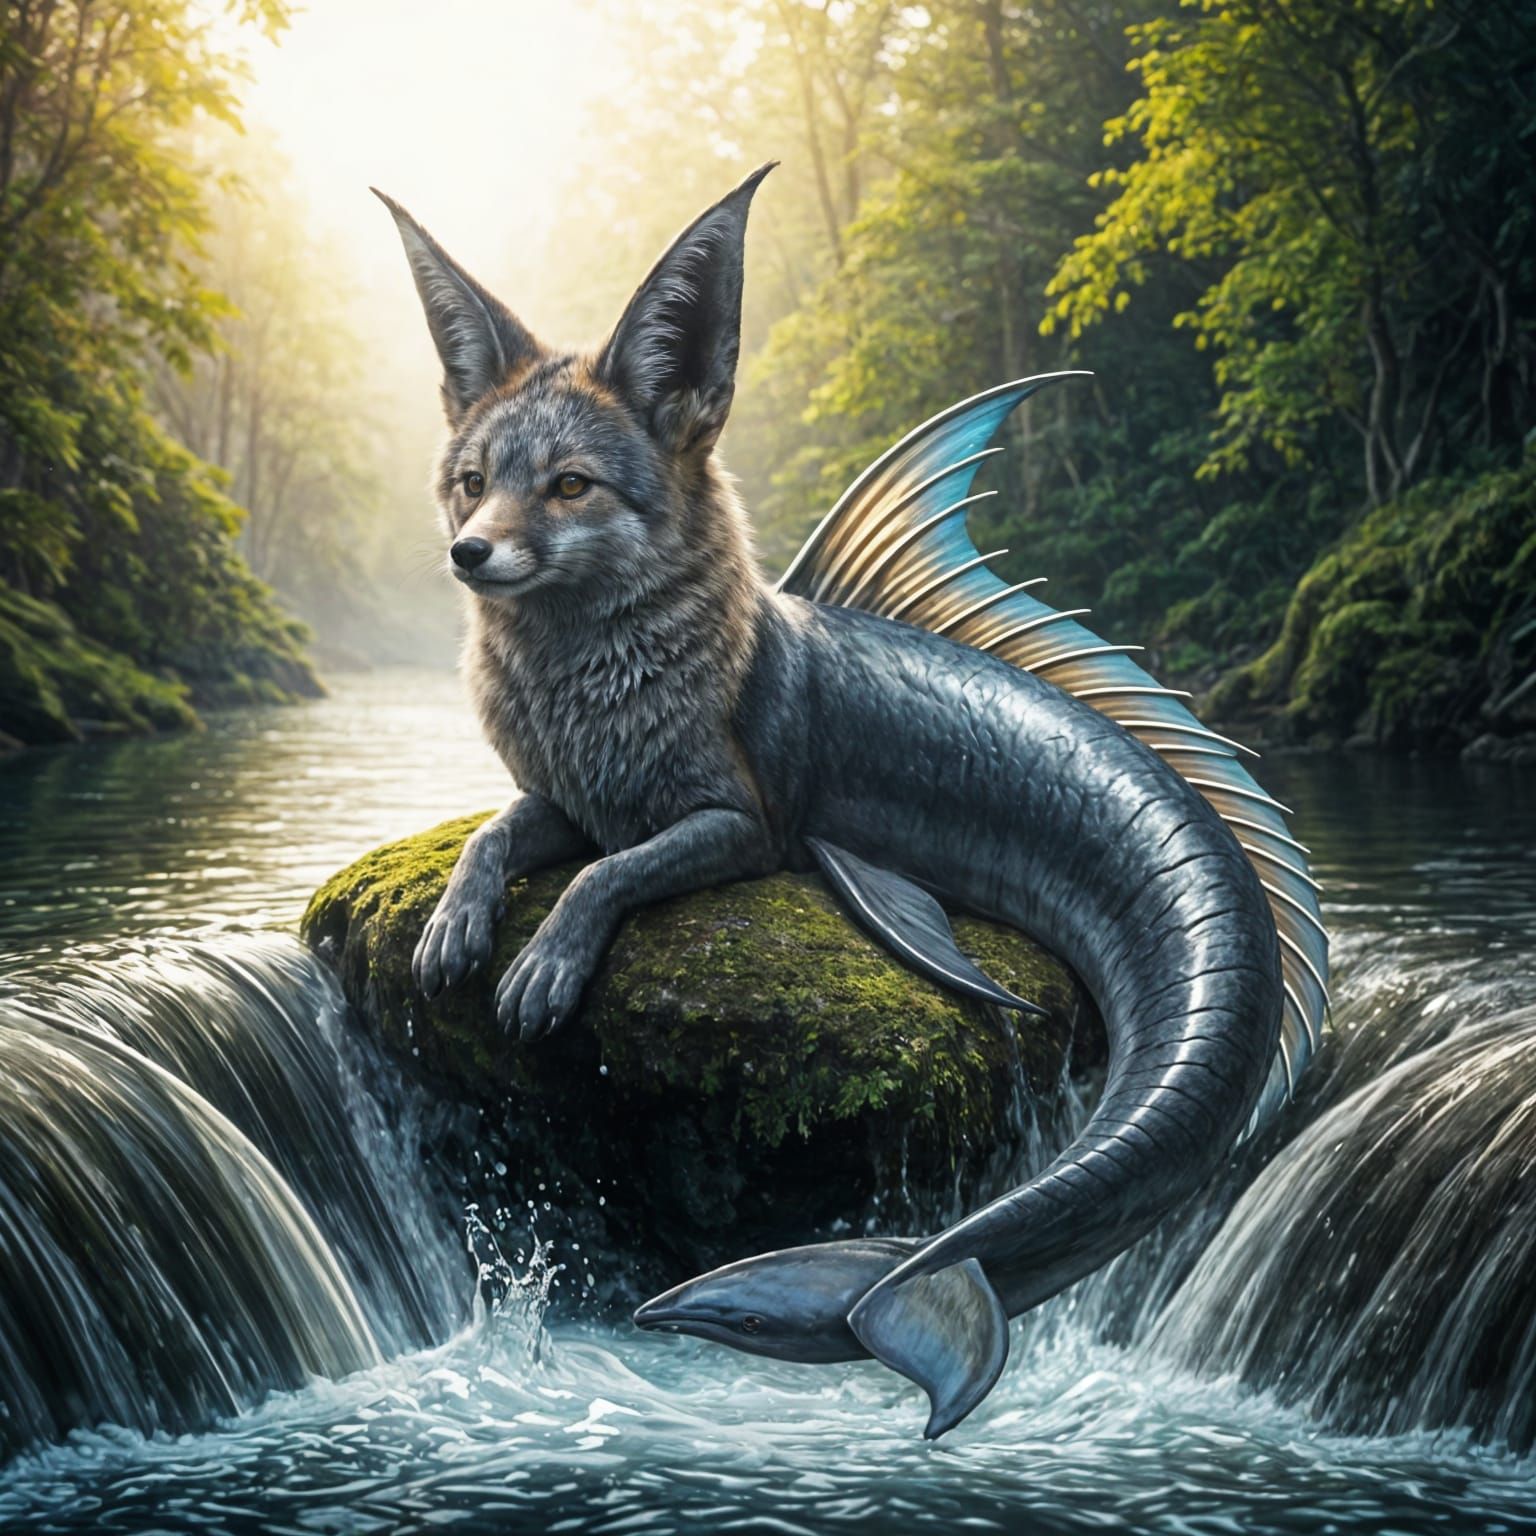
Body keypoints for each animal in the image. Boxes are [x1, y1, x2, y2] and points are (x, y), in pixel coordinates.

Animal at [376, 164, 1324, 1437]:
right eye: (472, 482)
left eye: (571, 485)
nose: (470, 553)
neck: (589, 671)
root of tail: (908, 1267)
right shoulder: (569, 795)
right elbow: (496, 836)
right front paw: (451, 931)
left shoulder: (740, 821)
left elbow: (608, 874)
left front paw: (538, 973)